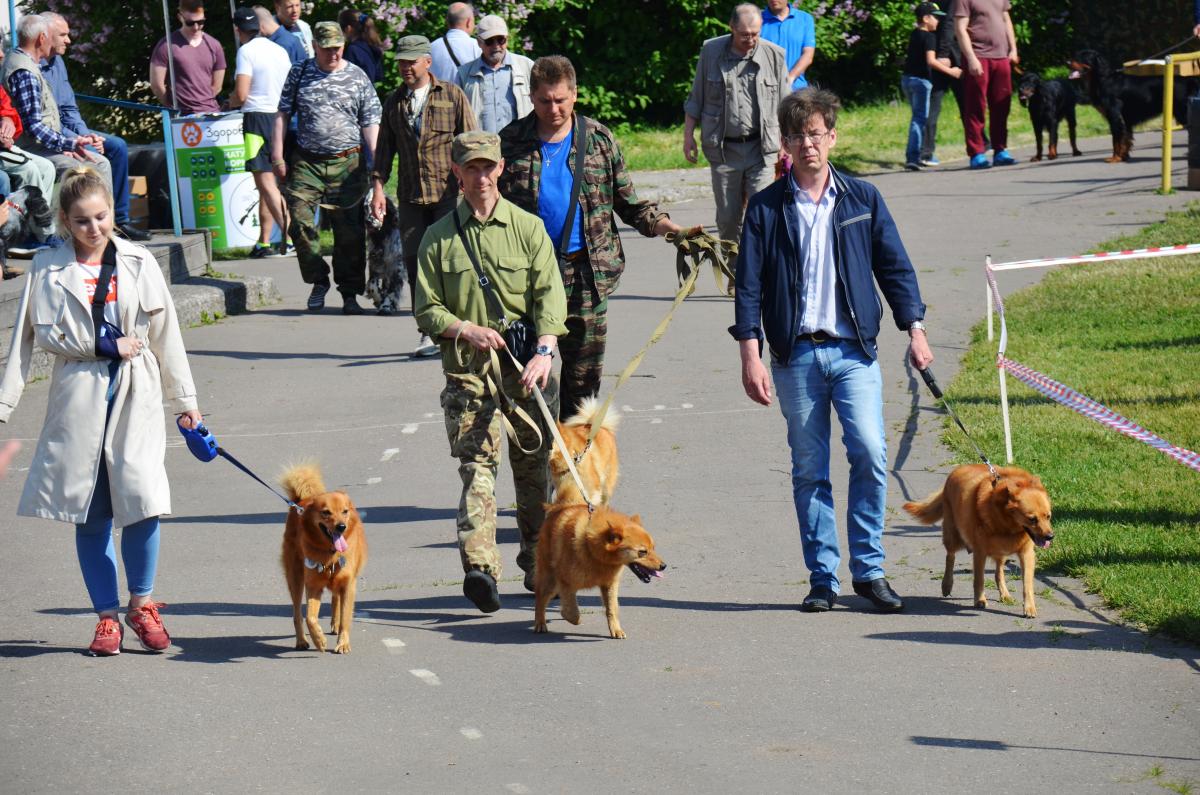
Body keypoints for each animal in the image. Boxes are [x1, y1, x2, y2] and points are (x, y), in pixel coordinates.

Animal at [280, 463, 368, 654]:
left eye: (345, 511)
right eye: (326, 512)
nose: (341, 527)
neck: (330, 553)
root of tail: (299, 502)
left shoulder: (348, 584)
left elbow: (345, 617)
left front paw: (343, 643)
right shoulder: (312, 585)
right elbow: (310, 618)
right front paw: (319, 640)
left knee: (336, 599)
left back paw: (335, 624)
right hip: (295, 578)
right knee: (297, 613)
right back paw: (301, 640)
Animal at [533, 503, 665, 639]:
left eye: (653, 548)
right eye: (642, 552)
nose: (663, 566)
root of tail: (559, 507)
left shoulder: (610, 585)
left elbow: (612, 609)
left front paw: (616, 629)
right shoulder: (566, 583)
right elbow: (572, 613)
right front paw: (569, 616)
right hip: (550, 581)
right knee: (540, 600)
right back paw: (540, 623)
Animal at [903, 464, 1054, 618]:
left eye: (1048, 516)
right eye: (1032, 519)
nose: (1050, 537)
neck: (1007, 524)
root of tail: (958, 468)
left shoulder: (1027, 554)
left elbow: (1027, 584)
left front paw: (1029, 607)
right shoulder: (980, 553)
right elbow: (979, 580)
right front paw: (980, 600)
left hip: (1000, 552)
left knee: (998, 572)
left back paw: (1004, 594)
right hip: (952, 537)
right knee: (950, 557)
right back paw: (947, 585)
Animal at [1069, 49, 1200, 162]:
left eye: (1083, 57)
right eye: (1076, 54)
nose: (1067, 62)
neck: (1103, 79)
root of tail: (1188, 80)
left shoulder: (1115, 117)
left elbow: (1116, 141)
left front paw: (1115, 158)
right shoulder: (1125, 120)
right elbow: (1125, 139)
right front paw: (1124, 156)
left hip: (1183, 113)